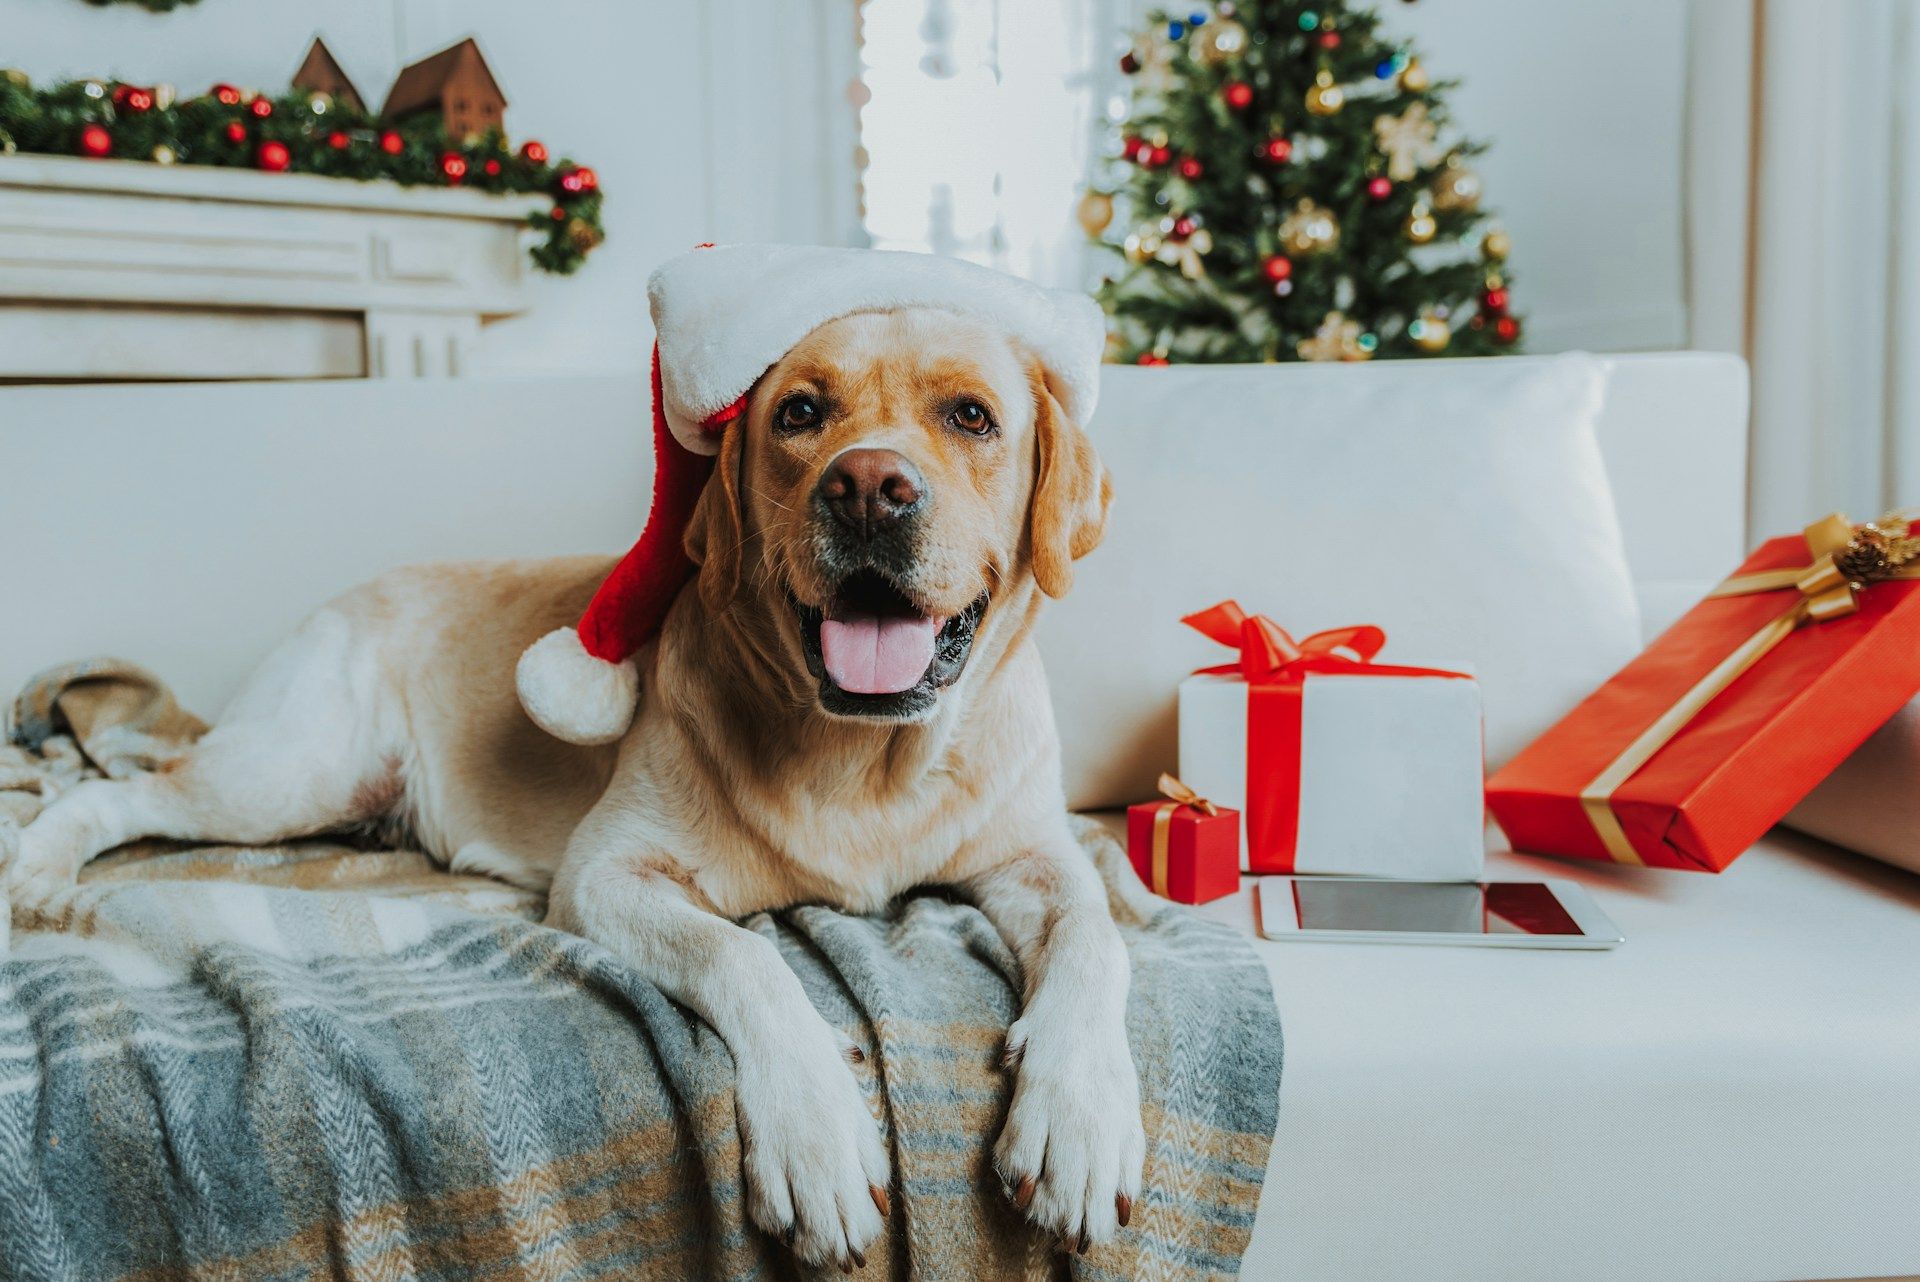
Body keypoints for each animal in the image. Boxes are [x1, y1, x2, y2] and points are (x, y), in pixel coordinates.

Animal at [11, 305, 1136, 1266]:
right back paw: (38, 861)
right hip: (287, 773)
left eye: (971, 416)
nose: (866, 486)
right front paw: (815, 1132)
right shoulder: (606, 873)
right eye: (800, 413)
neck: (867, 757)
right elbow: (745, 956)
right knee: (127, 788)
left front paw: (1078, 1116)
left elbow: (1098, 938)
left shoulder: (1038, 855)